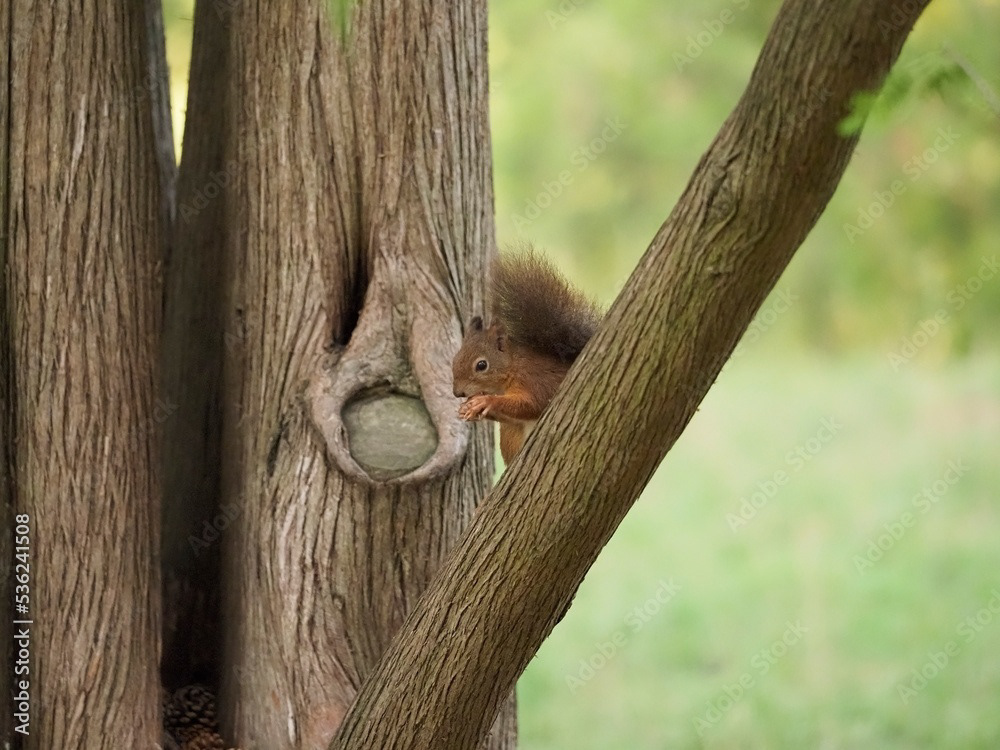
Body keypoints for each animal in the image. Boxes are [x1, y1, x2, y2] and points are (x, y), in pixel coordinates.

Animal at [452, 250, 601, 463]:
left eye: (481, 365)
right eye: (455, 360)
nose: (458, 393)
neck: (511, 367)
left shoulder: (535, 380)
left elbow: (531, 404)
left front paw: (485, 401)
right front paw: (469, 407)